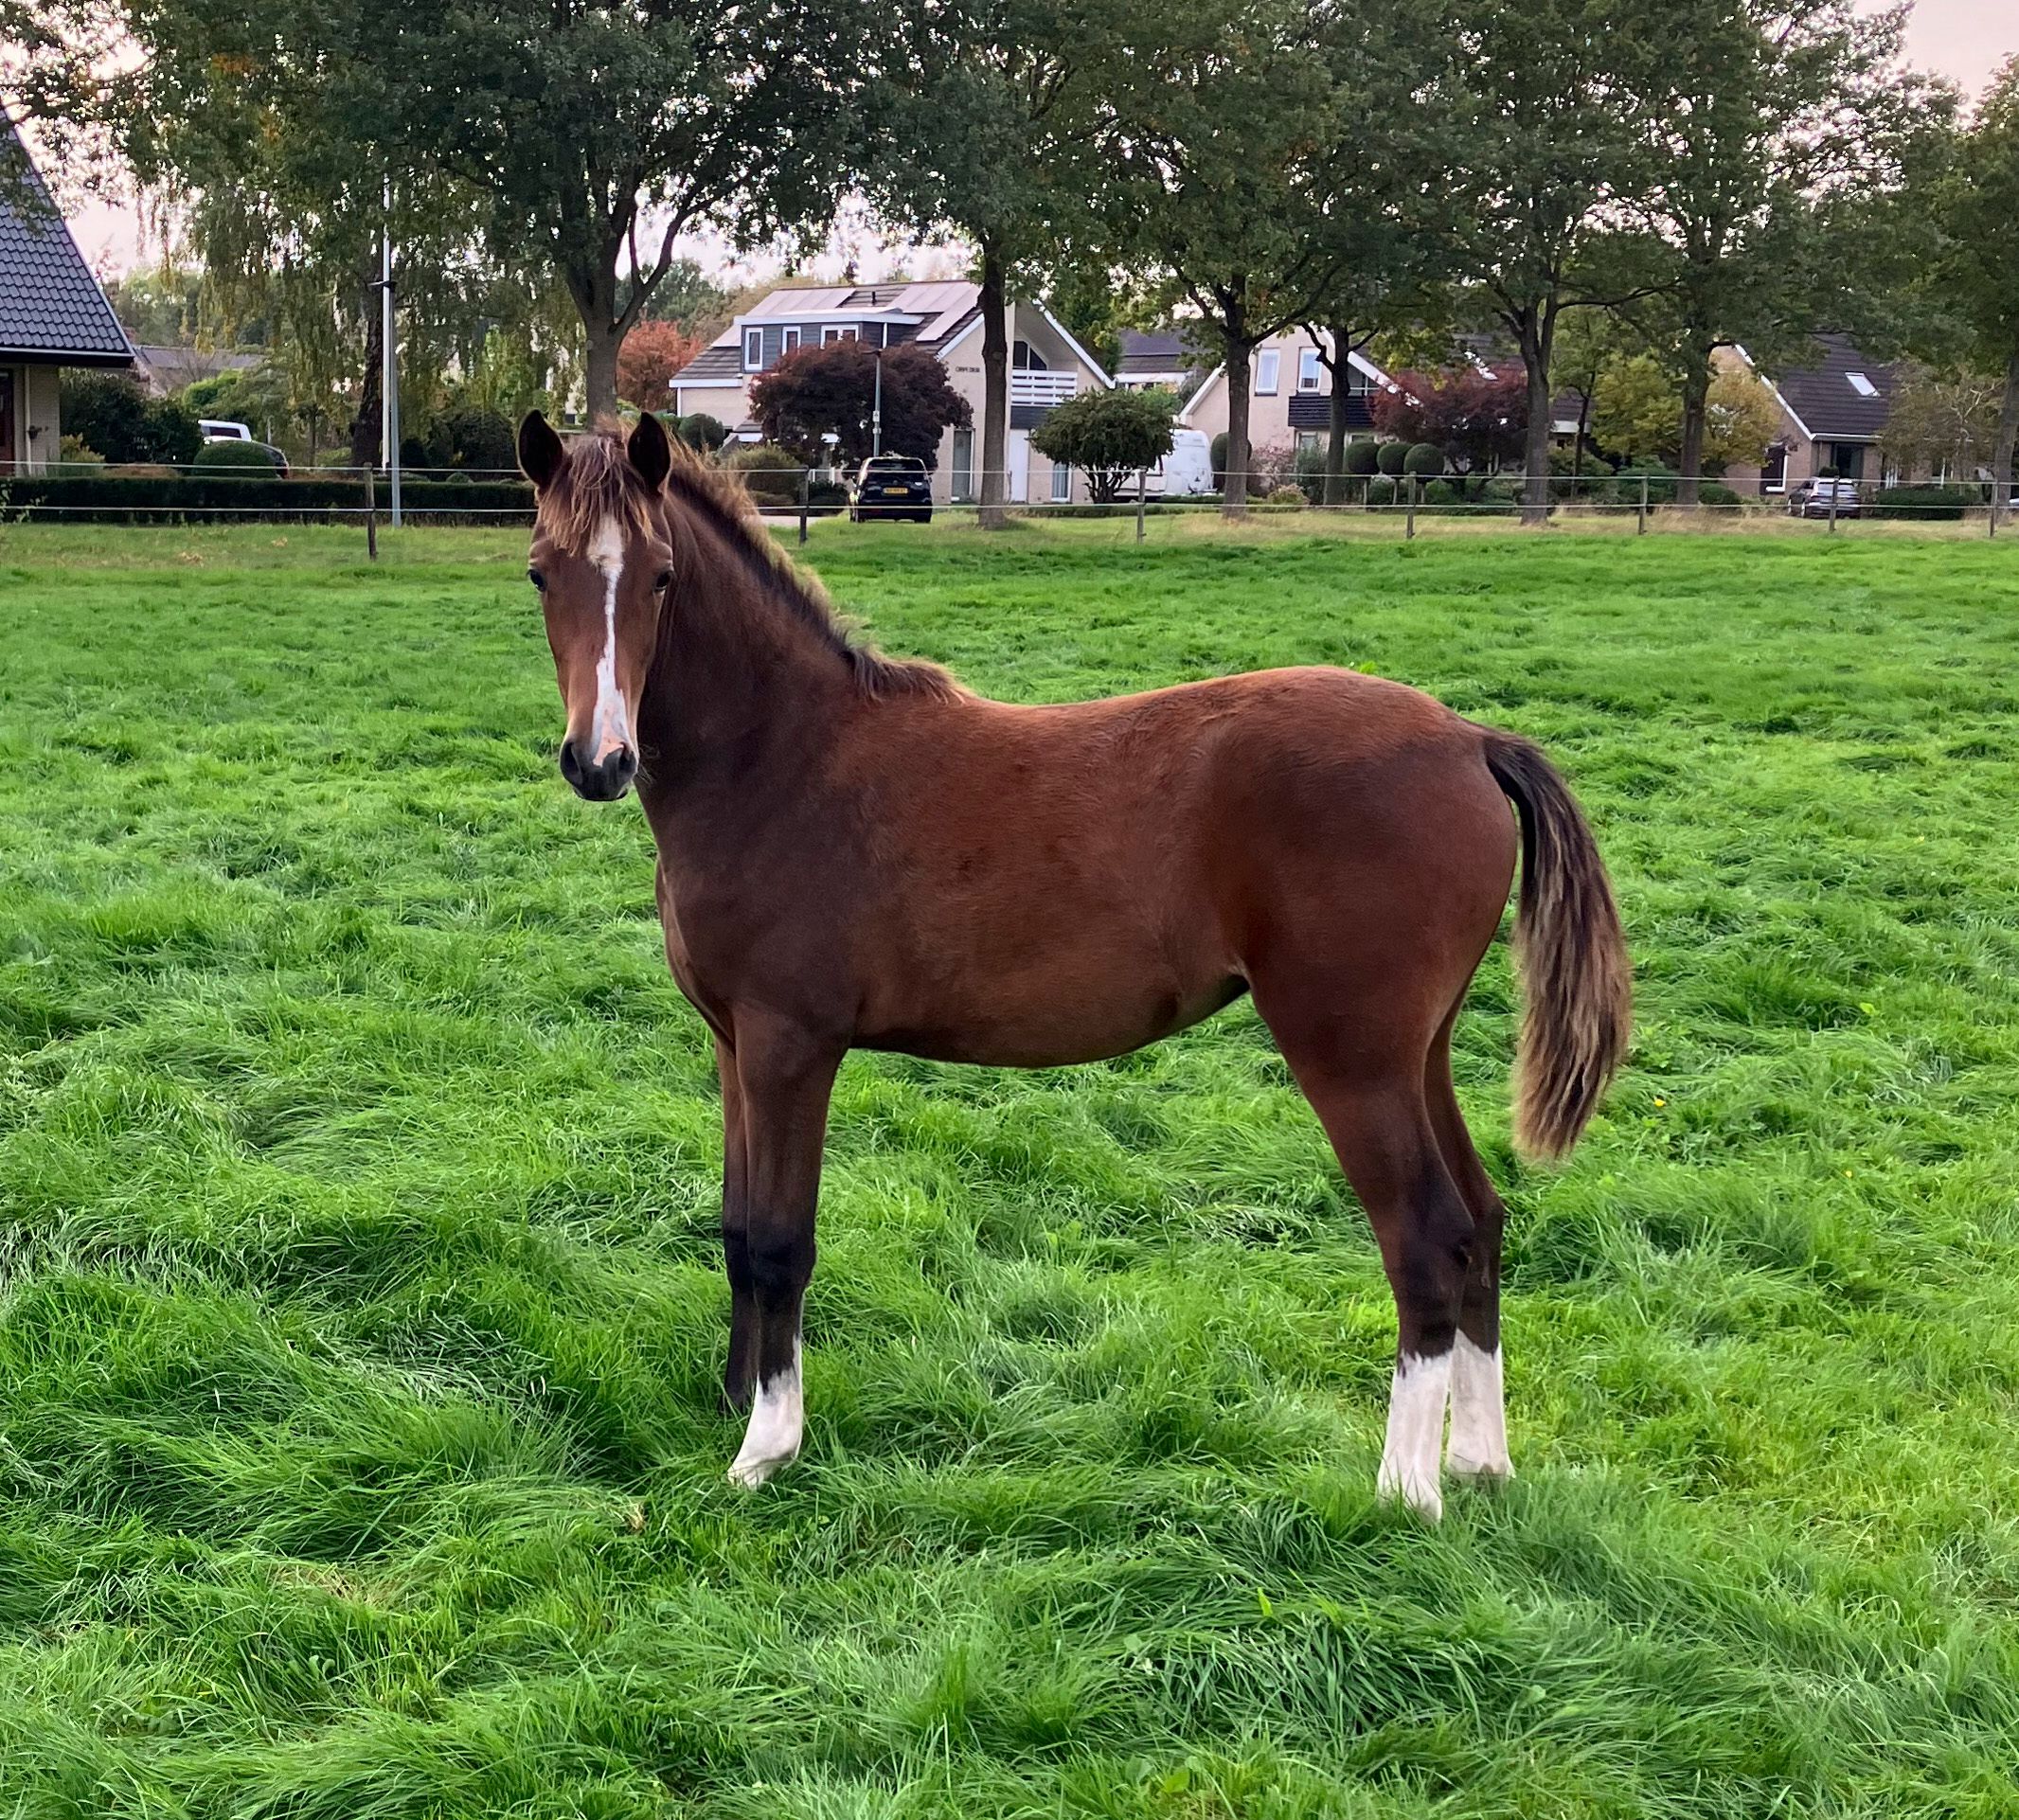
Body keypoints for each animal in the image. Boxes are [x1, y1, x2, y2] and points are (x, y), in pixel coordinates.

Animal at [515, 409, 1630, 1519]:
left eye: (661, 576)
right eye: (540, 572)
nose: (598, 761)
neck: (784, 760)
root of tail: (1468, 737)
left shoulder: (793, 1046)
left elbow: (785, 1239)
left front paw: (768, 1446)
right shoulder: (734, 1044)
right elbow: (741, 1232)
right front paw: (736, 1402)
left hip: (1351, 1058)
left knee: (1425, 1236)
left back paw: (1405, 1490)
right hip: (1418, 1052)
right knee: (1480, 1222)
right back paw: (1480, 1462)